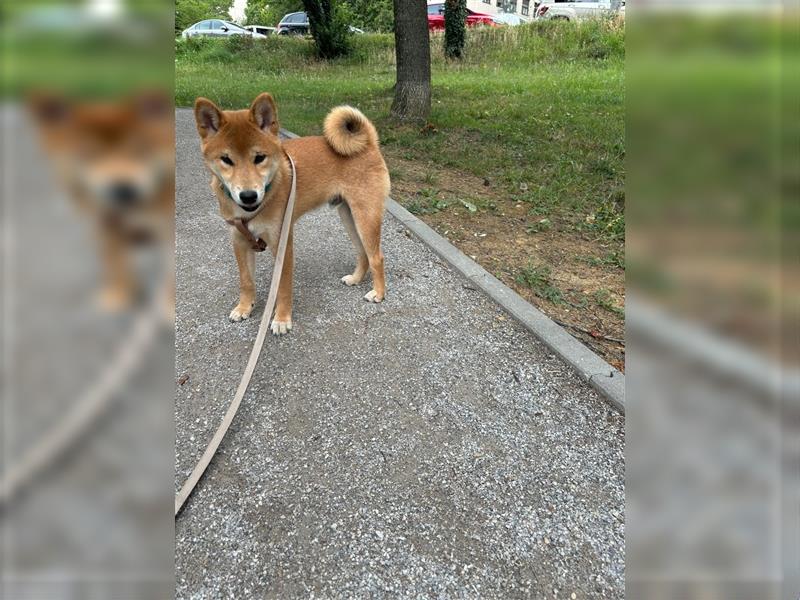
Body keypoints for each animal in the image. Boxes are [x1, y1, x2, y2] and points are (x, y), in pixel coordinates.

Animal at [28, 92, 176, 316]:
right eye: (88, 154)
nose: (123, 189)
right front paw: (119, 296)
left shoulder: (166, 229)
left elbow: (168, 275)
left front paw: (167, 308)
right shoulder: (104, 227)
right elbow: (115, 264)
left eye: (141, 150)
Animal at [195, 92, 392, 336]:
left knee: (377, 257)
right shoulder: (239, 241)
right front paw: (244, 307)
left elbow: (283, 287)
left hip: (365, 217)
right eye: (226, 159)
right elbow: (246, 281)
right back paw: (355, 279)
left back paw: (379, 293)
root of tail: (369, 144)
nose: (248, 196)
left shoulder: (282, 244)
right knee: (363, 253)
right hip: (349, 218)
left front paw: (281, 319)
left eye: (259, 157)